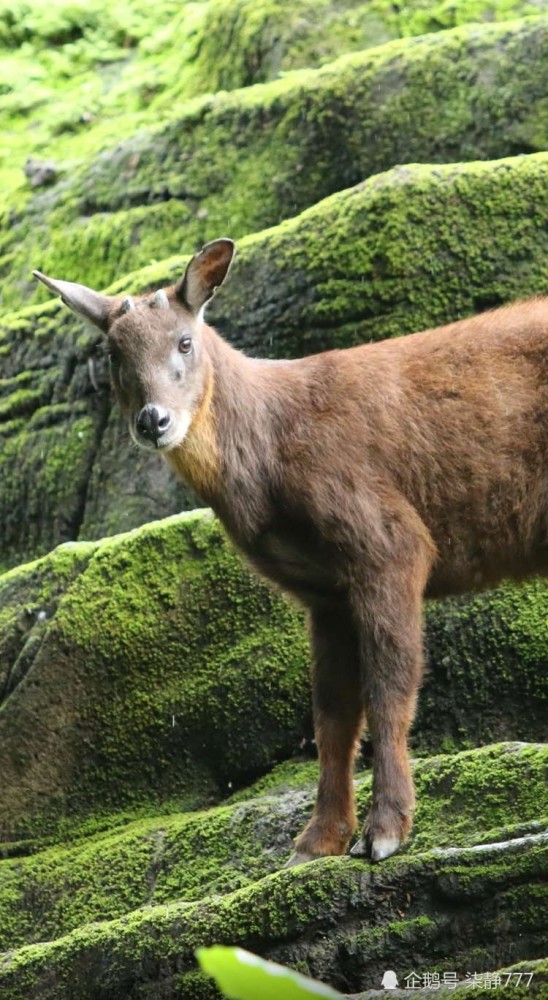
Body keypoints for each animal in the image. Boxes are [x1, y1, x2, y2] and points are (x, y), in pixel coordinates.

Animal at [33, 238, 548, 864]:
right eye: (111, 353)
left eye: (184, 340)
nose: (153, 420)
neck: (271, 448)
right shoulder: (322, 591)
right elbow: (331, 715)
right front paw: (316, 841)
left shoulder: (389, 543)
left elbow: (389, 690)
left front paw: (385, 833)